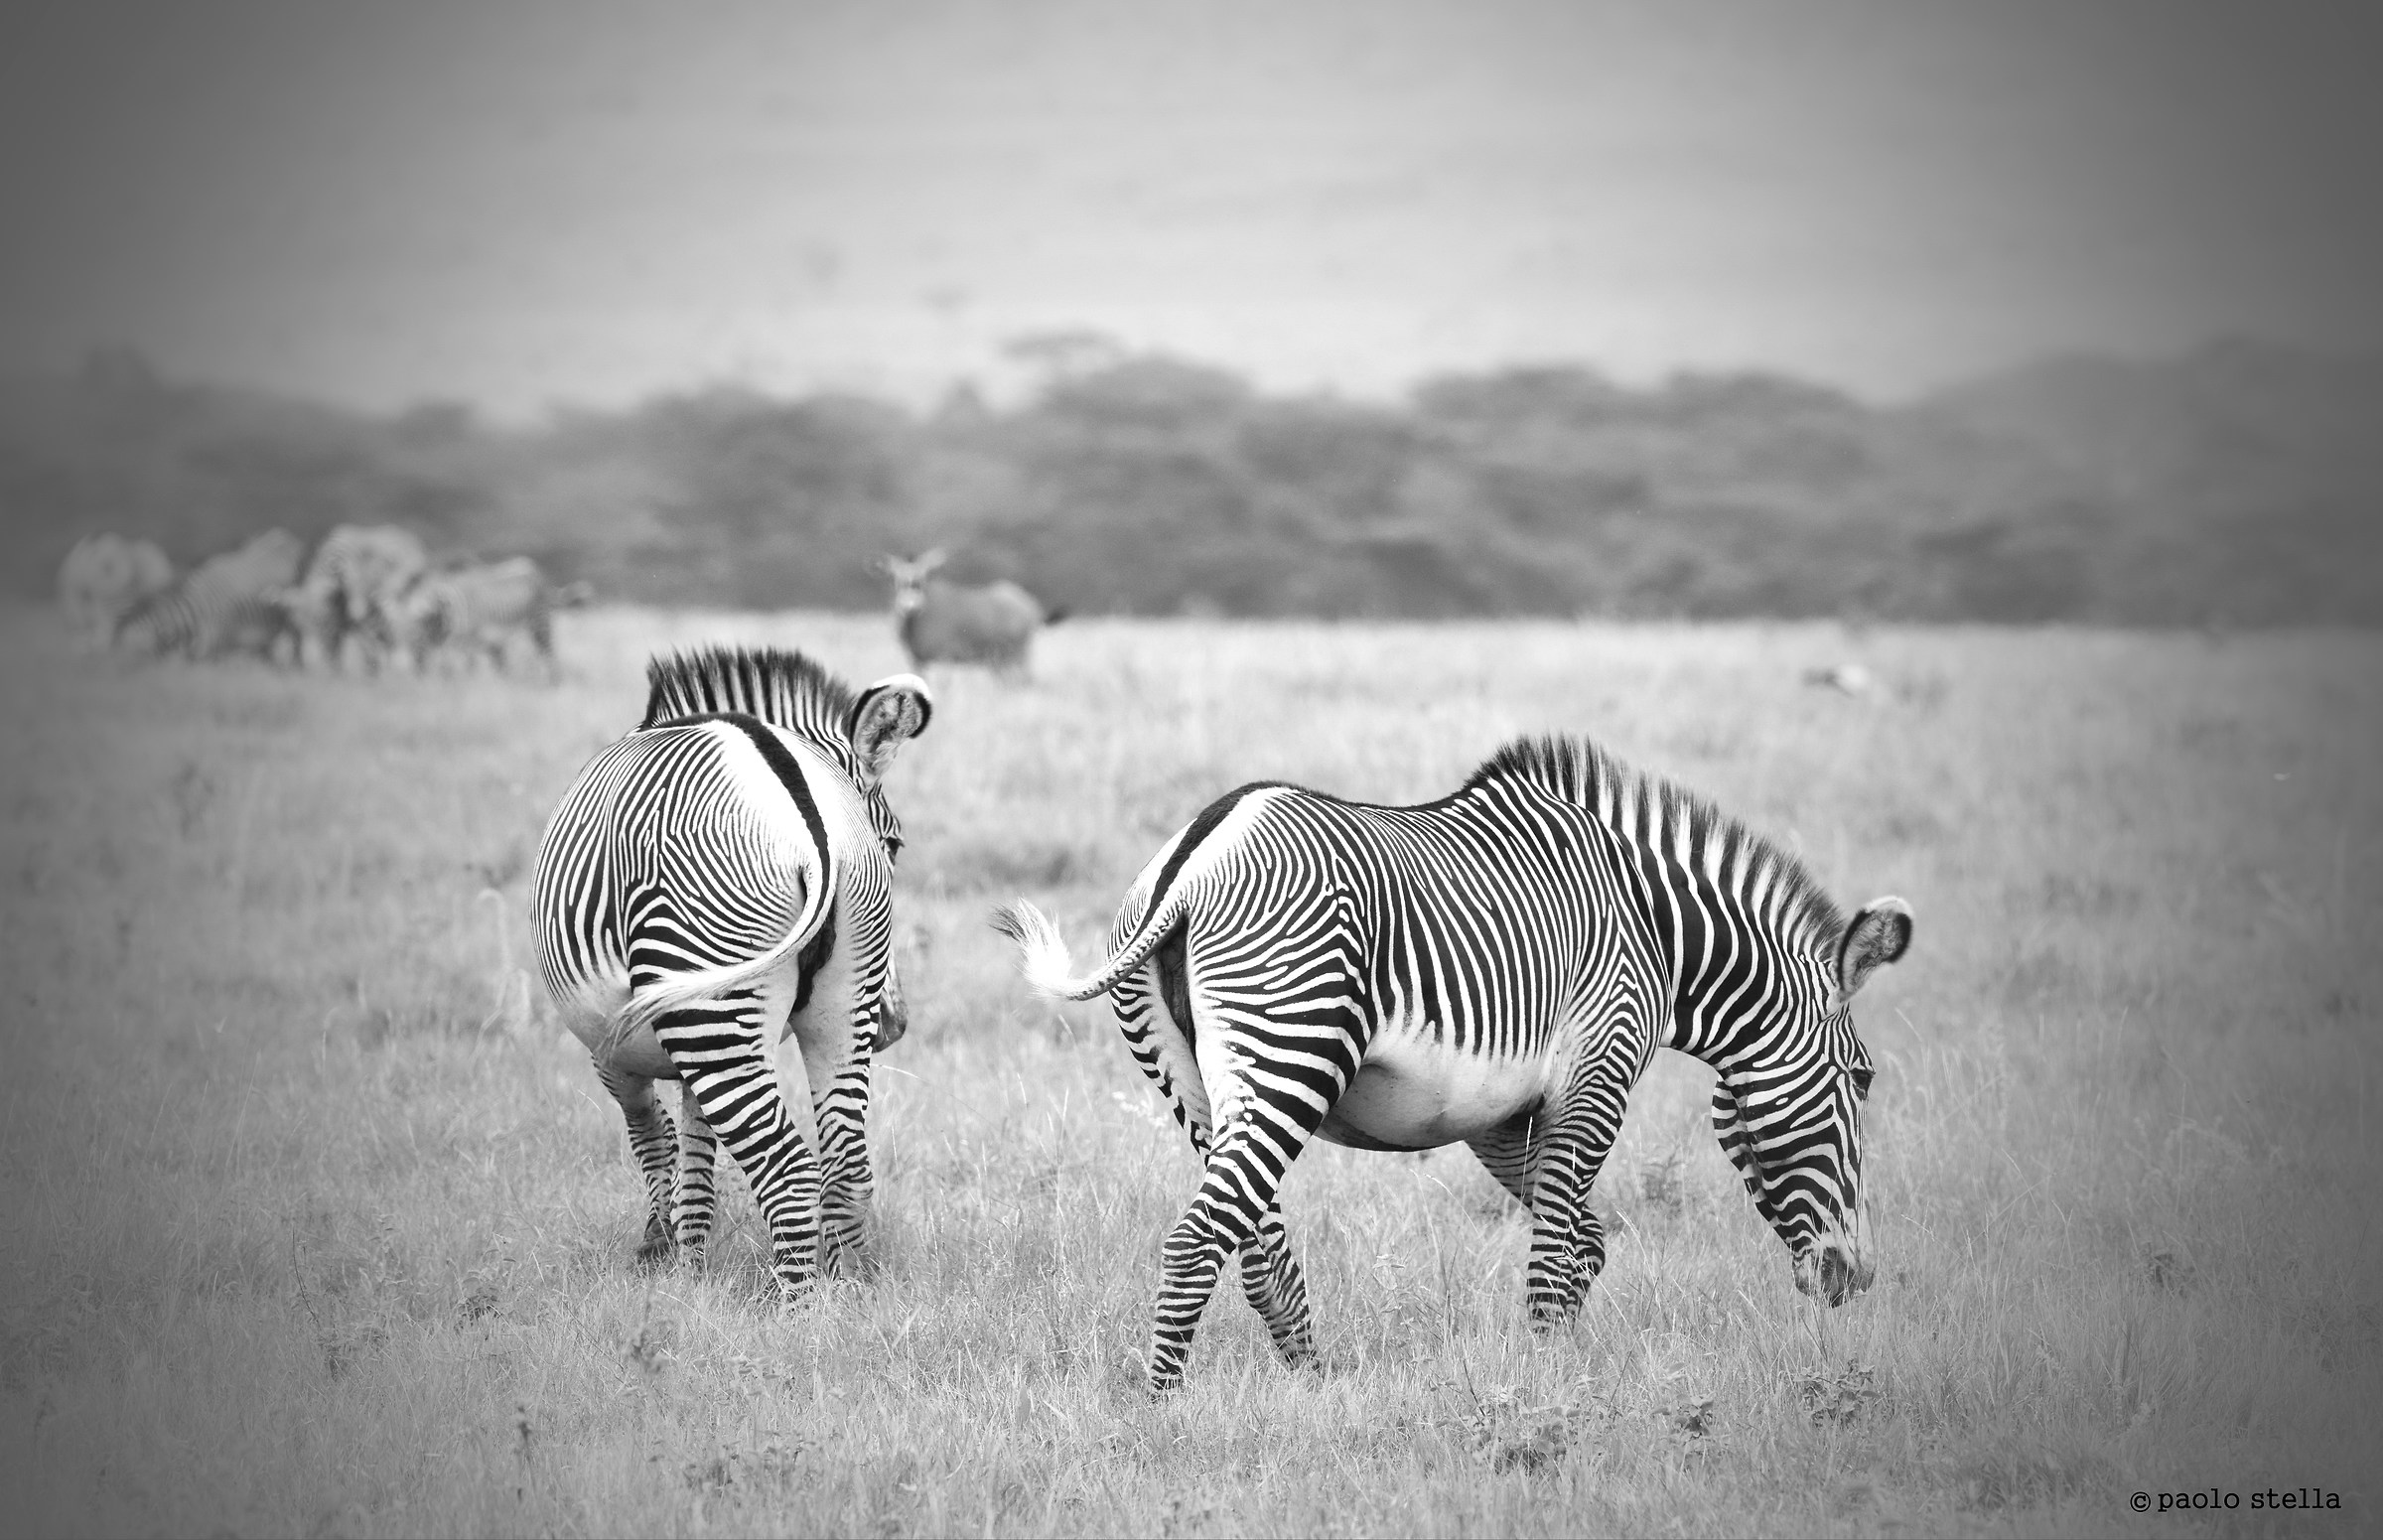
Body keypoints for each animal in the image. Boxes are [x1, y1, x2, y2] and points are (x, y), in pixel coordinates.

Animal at [533, 646, 932, 1305]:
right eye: (894, 846)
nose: (894, 1026)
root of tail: (814, 830)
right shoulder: (687, 1043)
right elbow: (696, 1152)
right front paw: (689, 1268)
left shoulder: (610, 1046)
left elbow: (653, 1135)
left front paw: (659, 1248)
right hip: (835, 1007)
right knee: (846, 1163)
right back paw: (852, 1289)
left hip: (711, 1000)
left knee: (791, 1170)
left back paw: (797, 1309)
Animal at [995, 733, 1911, 1391]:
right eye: (1864, 1078)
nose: (1858, 1275)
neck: (1655, 928)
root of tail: (1197, 851)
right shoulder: (1599, 1072)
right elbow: (1557, 1248)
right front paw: (1545, 1386)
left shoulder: (1499, 1117)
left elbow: (1582, 1239)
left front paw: (1559, 1362)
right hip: (1291, 1050)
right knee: (1196, 1240)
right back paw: (1160, 1410)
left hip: (1190, 1082)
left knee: (1256, 1247)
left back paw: (1317, 1386)